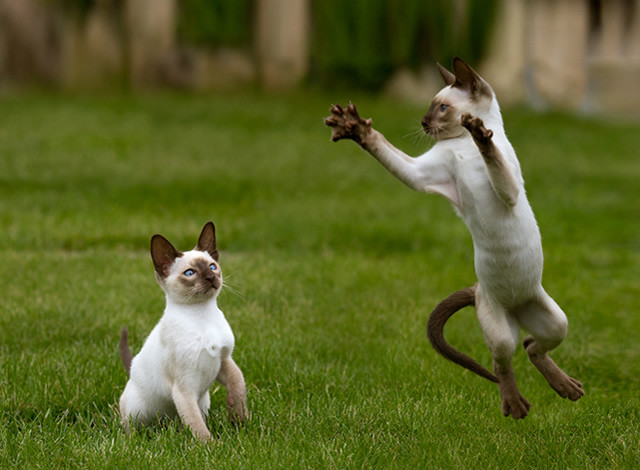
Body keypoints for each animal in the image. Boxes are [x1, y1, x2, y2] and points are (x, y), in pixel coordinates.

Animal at [117, 220, 248, 440]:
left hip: (202, 402)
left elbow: (238, 382)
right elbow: (197, 427)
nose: (211, 277)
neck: (203, 315)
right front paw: (213, 446)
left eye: (212, 266)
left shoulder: (223, 359)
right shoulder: (184, 387)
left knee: (181, 423)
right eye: (190, 273)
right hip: (137, 413)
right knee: (129, 428)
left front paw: (239, 419)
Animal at [324, 57, 584, 418]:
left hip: (556, 321)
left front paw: (480, 134)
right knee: (511, 355)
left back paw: (554, 392)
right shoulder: (422, 174)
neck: (460, 145)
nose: (423, 122)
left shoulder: (508, 191)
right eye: (431, 106)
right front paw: (354, 128)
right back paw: (521, 404)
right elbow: (383, 148)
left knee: (532, 347)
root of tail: (481, 292)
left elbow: (493, 157)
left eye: (443, 108)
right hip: (503, 329)